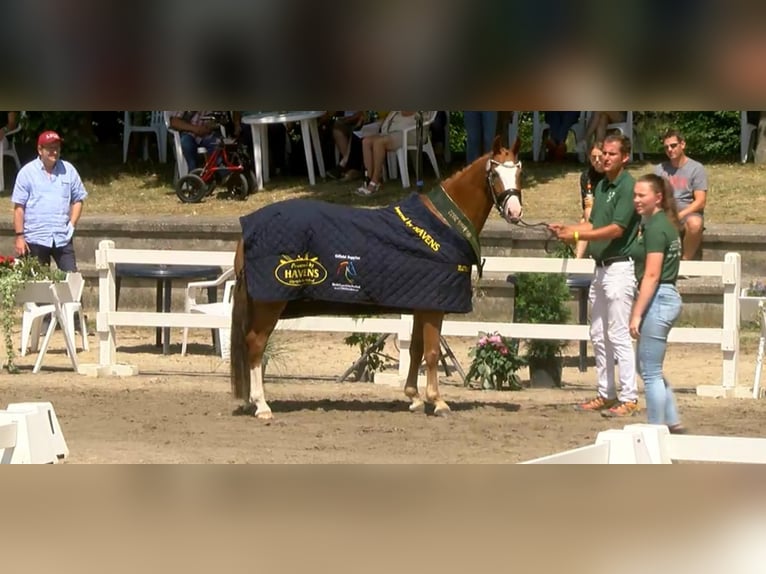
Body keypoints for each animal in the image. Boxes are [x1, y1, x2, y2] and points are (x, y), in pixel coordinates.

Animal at [231, 137, 524, 420]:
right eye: (495, 173)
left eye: (519, 172)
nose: (514, 211)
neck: (443, 224)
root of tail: (247, 230)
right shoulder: (434, 307)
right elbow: (431, 353)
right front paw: (437, 402)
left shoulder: (421, 303)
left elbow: (415, 350)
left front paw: (414, 398)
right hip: (270, 304)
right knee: (256, 345)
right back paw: (262, 405)